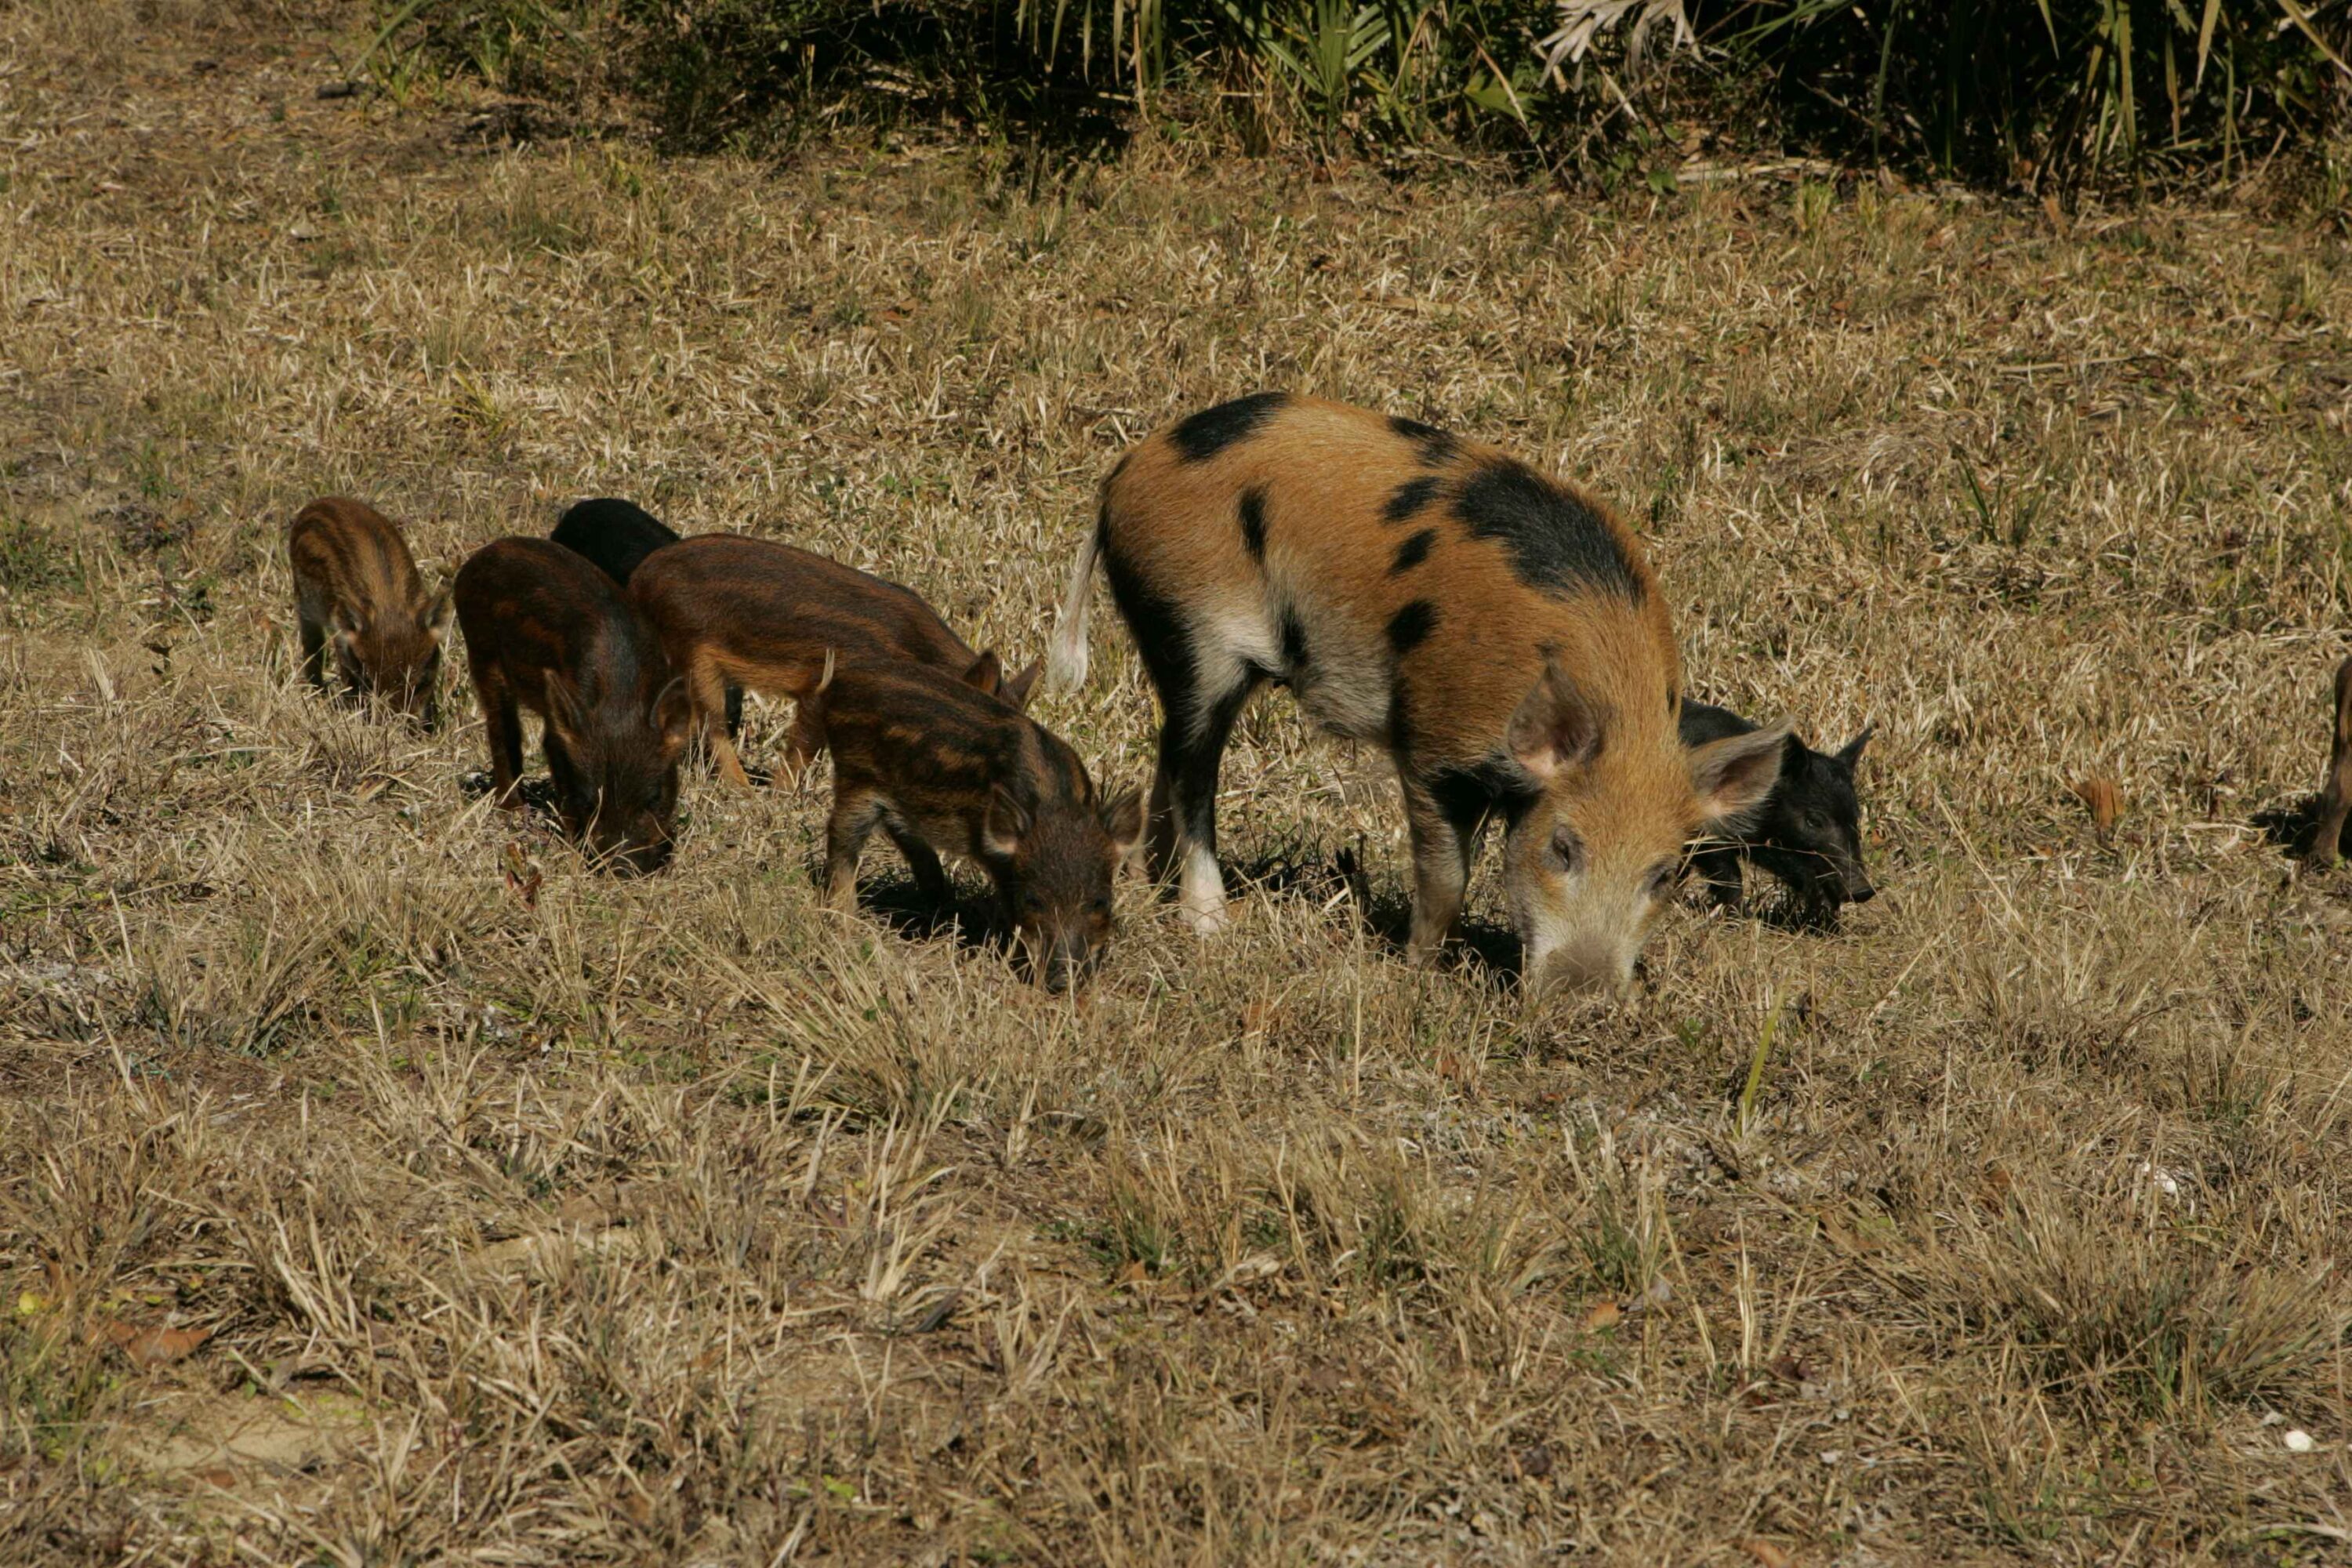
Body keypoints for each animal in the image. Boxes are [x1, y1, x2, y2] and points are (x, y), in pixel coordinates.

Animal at [287, 496, 452, 725]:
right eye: (369, 681)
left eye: (421, 684)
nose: (397, 725)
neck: (389, 604)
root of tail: (319, 503)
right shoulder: (342, 637)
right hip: (304, 603)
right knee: (312, 649)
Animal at [452, 537, 691, 875]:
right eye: (590, 800)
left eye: (654, 797)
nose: (621, 869)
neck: (621, 698)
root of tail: (477, 559)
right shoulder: (561, 732)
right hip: (482, 652)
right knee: (502, 730)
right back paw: (513, 811)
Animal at [628, 533, 1037, 789]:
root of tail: (638, 580)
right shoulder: (822, 685)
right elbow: (804, 750)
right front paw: (780, 797)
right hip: (695, 659)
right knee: (711, 727)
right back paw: (743, 791)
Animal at [805, 655, 1142, 992]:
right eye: (1032, 901)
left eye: (1102, 902)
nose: (1062, 981)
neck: (1054, 804)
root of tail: (837, 684)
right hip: (856, 783)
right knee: (841, 842)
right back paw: (845, 924)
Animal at [1047, 393, 1788, 997]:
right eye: (1563, 847)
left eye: (1664, 876)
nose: (1583, 999)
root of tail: (1128, 468)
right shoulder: (1434, 740)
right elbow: (1445, 878)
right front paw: (1423, 973)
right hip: (1191, 626)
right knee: (1193, 770)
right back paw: (1211, 928)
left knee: (1169, 752)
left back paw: (1150, 883)